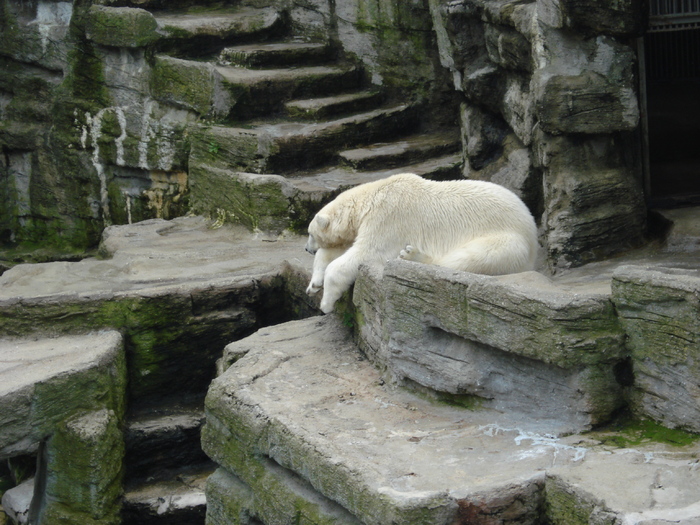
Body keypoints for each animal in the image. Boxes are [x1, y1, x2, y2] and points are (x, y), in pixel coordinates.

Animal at [305, 172, 538, 313]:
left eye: (310, 234)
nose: (307, 248)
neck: (373, 196)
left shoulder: (389, 218)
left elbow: (366, 252)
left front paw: (326, 303)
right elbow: (338, 249)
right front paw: (313, 285)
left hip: (508, 239)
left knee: (470, 256)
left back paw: (412, 256)